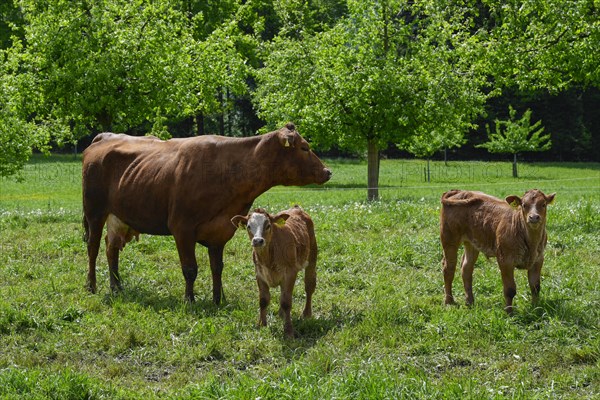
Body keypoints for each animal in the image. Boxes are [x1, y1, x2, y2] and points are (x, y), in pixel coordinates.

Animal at [81, 122, 330, 304]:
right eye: (304, 147)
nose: (327, 171)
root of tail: (104, 136)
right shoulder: (182, 228)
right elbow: (190, 269)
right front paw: (189, 300)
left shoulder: (220, 231)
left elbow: (217, 268)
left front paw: (218, 300)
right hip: (94, 211)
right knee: (93, 247)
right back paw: (92, 285)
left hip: (119, 216)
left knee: (111, 248)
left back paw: (117, 286)